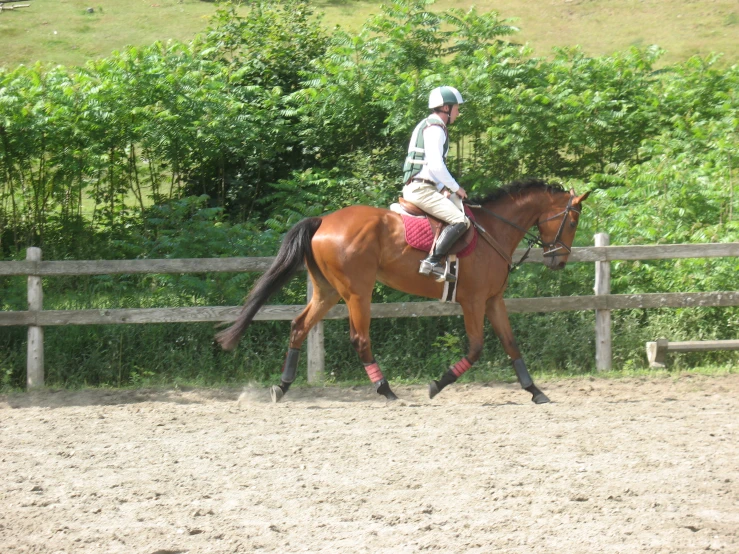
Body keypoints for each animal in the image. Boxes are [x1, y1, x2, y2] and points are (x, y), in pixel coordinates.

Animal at [217, 179, 592, 404]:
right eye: (573, 221)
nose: (559, 261)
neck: (495, 231)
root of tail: (323, 220)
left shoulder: (493, 300)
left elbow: (511, 344)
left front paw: (535, 391)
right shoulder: (472, 301)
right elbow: (476, 349)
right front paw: (437, 384)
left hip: (327, 292)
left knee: (299, 326)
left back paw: (281, 387)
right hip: (358, 293)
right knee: (360, 339)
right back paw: (386, 390)